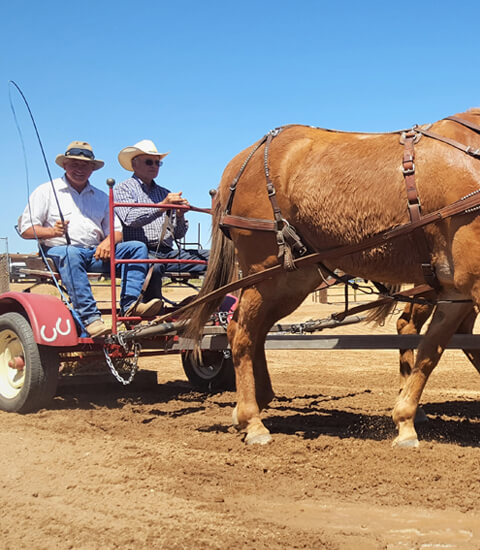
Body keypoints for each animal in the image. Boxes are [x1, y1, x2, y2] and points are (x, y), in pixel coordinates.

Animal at [189, 110, 480, 450]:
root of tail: (241, 161)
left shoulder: (456, 291)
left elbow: (430, 351)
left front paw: (405, 421)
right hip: (264, 272)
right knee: (241, 334)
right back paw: (252, 420)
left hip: (290, 280)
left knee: (252, 331)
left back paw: (256, 402)